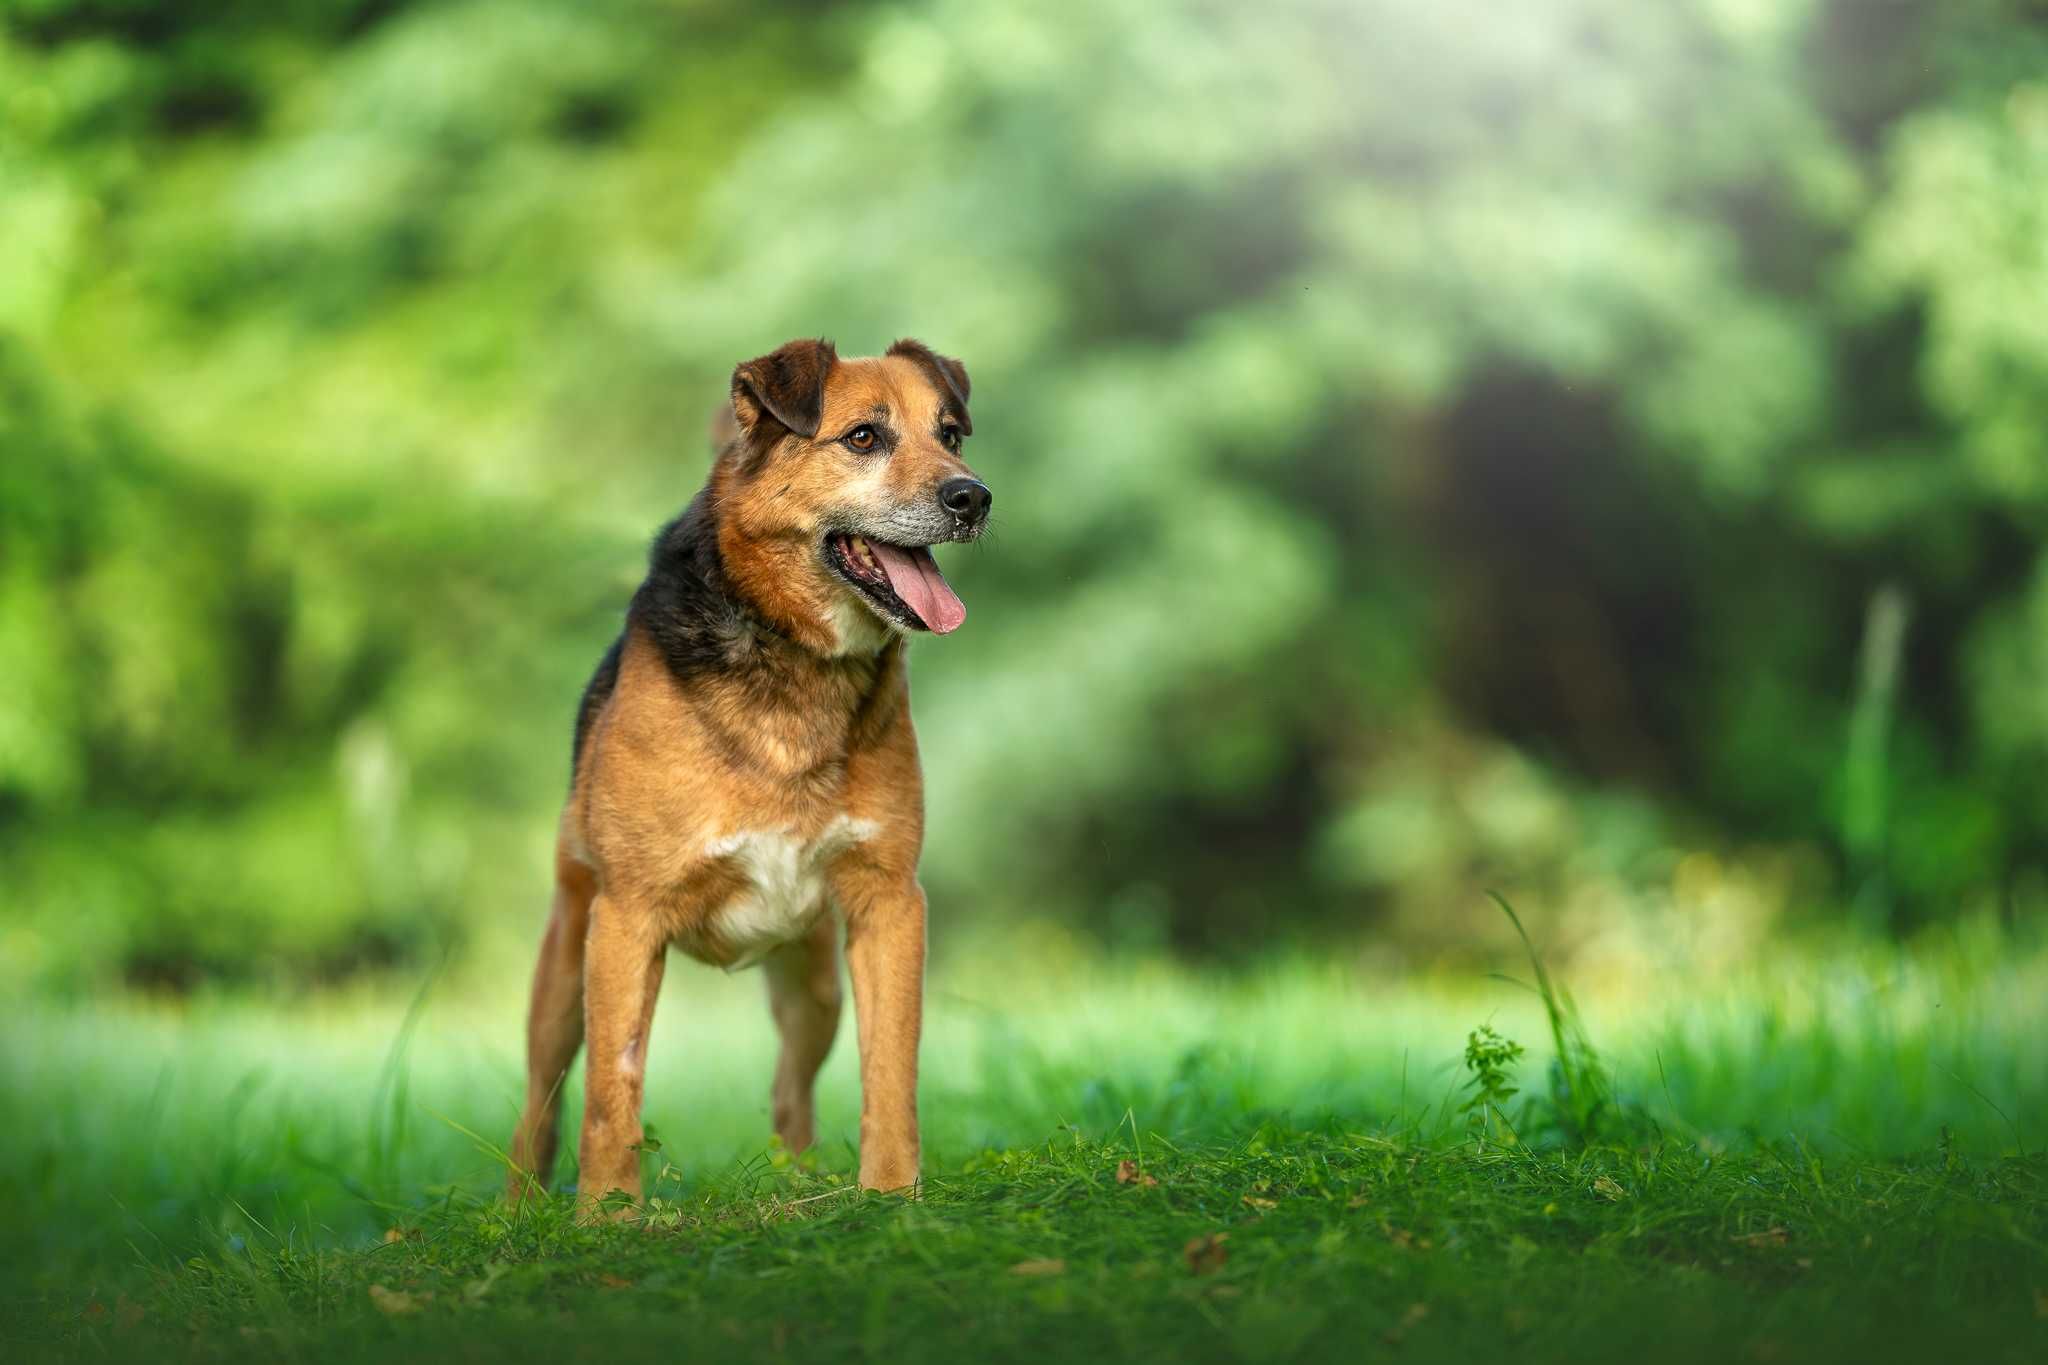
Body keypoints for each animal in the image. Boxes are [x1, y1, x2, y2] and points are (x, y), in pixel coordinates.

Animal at [512, 335, 991, 1203]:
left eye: (951, 435)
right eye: (863, 437)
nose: (973, 497)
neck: (795, 658)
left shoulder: (889, 905)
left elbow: (890, 1073)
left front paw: (891, 1196)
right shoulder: (627, 919)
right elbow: (611, 1091)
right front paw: (608, 1213)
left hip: (815, 984)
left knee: (789, 1091)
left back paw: (798, 1183)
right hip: (563, 969)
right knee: (541, 1105)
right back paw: (520, 1204)